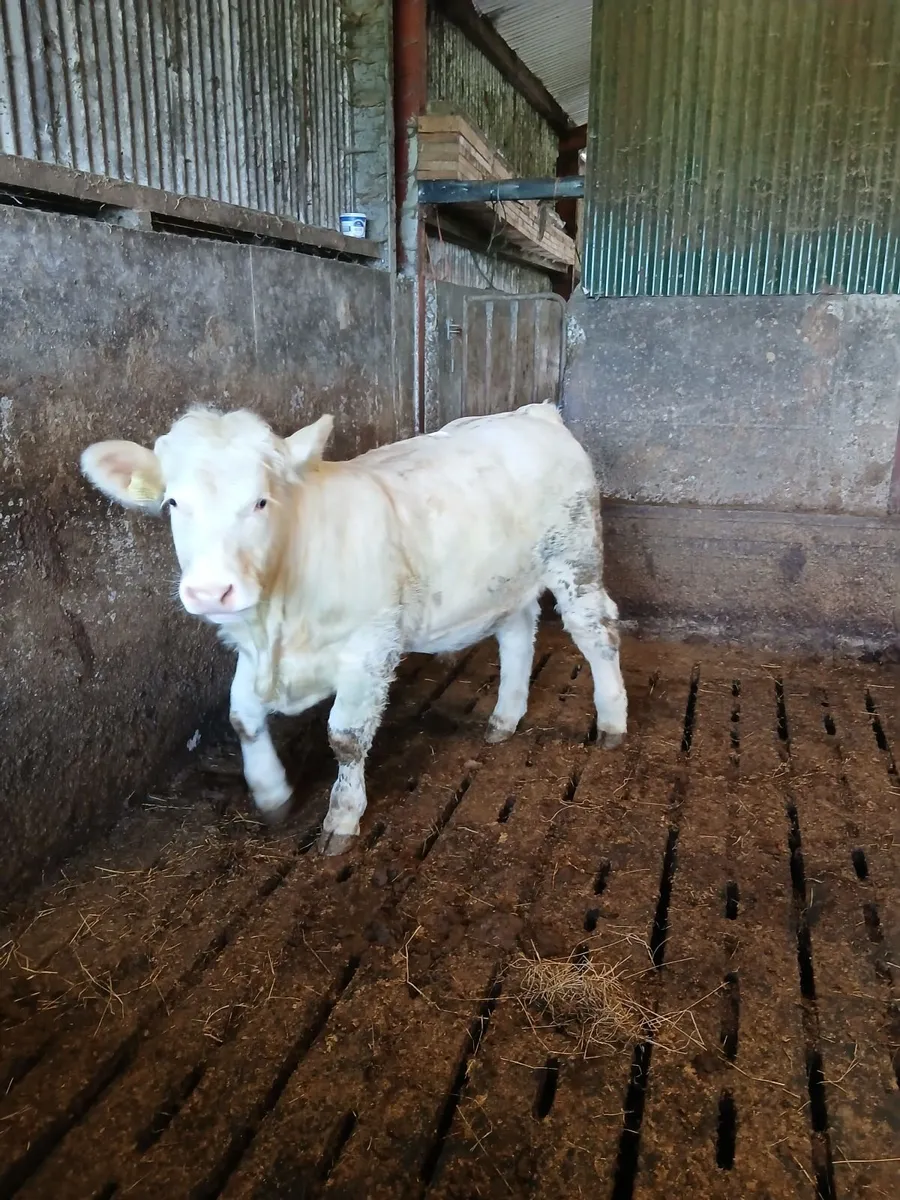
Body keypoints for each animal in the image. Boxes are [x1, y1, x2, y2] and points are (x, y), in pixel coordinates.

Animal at [80, 402, 627, 854]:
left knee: (597, 631)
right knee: (517, 632)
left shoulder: (371, 647)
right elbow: (241, 717)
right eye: (173, 503)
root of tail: (534, 413)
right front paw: (272, 792)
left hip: (576, 559)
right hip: (506, 581)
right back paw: (504, 718)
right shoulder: (253, 652)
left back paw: (612, 722)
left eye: (261, 502)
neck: (279, 623)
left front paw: (342, 817)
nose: (212, 591)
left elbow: (345, 736)